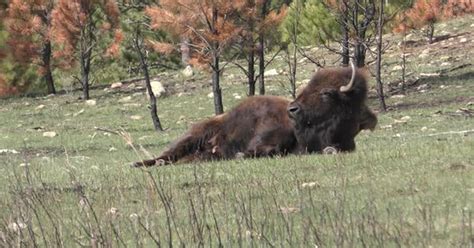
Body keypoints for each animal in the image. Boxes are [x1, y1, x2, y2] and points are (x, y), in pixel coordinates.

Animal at [134, 62, 378, 167]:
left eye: (327, 92)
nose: (293, 109)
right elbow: (264, 150)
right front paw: (242, 155)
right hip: (190, 137)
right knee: (168, 155)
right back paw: (141, 164)